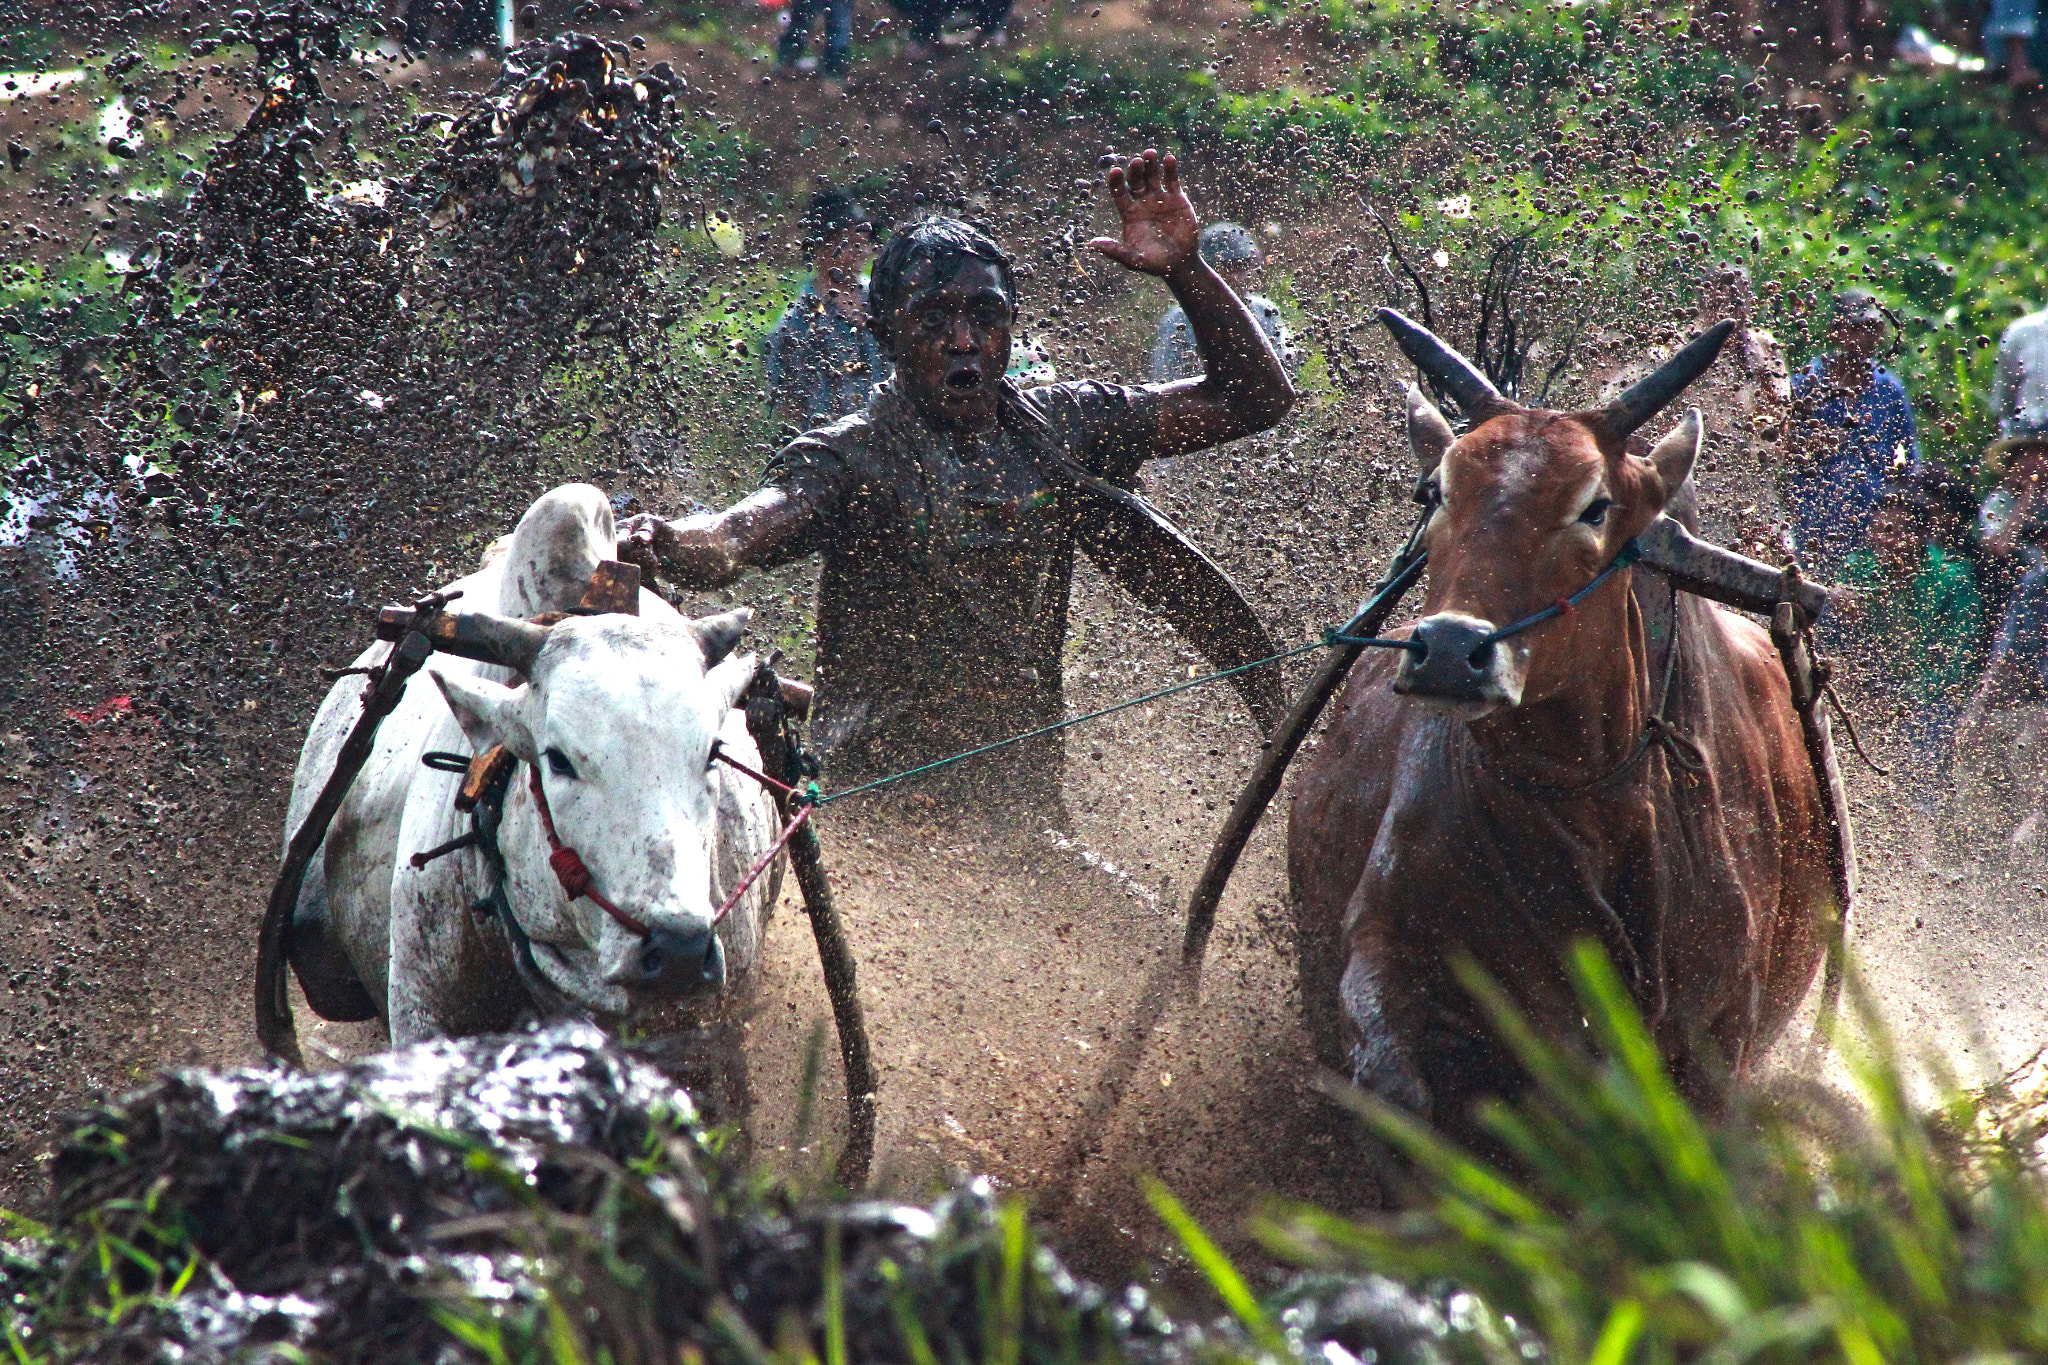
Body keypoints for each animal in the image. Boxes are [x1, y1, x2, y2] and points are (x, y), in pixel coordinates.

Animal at [1286, 313, 1835, 1129]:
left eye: (1595, 506)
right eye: (1435, 489)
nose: (1448, 652)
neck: (1589, 809)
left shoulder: (1720, 1040)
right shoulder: (1387, 949)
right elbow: (1401, 1091)